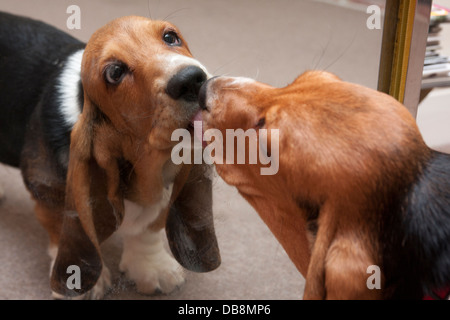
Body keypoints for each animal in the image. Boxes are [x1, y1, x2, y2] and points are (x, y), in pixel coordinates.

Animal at [0, 11, 220, 298]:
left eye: (170, 37)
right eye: (115, 73)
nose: (191, 79)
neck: (148, 158)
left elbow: (149, 228)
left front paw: (152, 267)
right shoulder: (49, 192)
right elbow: (64, 231)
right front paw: (79, 284)